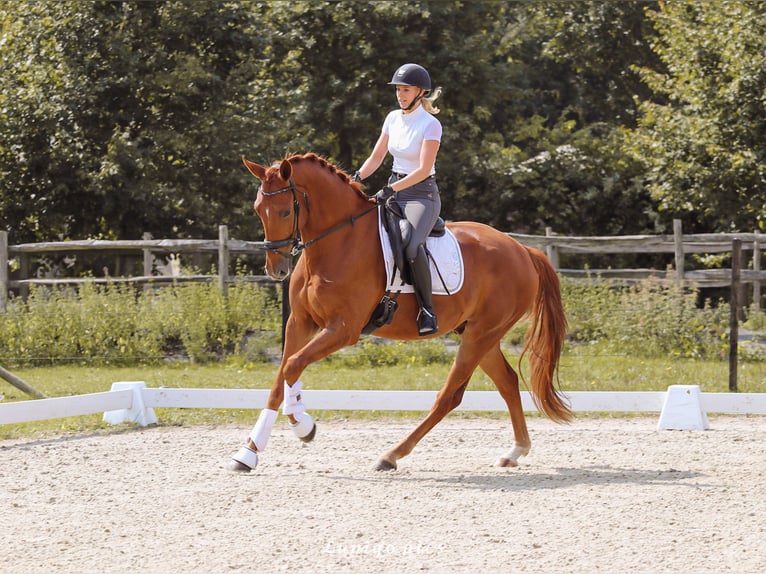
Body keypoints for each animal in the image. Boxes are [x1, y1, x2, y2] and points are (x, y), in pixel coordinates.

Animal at [228, 152, 568, 472]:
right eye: (258, 209)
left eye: (286, 211)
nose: (276, 269)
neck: (337, 242)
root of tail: (523, 250)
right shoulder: (300, 323)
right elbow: (280, 378)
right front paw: (248, 453)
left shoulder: (343, 330)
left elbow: (292, 366)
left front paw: (304, 427)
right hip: (477, 333)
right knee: (507, 381)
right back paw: (515, 451)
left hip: (481, 334)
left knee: (450, 396)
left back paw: (391, 455)